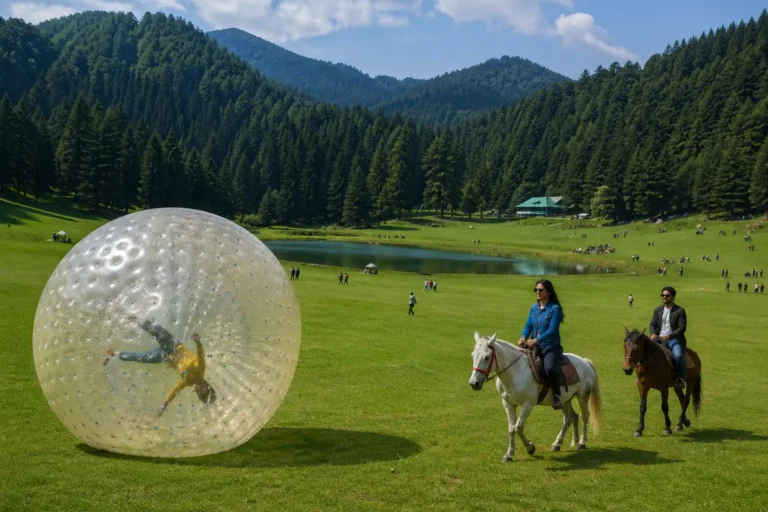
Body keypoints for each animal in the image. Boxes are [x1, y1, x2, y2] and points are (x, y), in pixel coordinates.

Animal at [468, 333, 602, 462]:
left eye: (486, 357)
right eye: (473, 355)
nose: (474, 383)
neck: (516, 372)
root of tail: (585, 361)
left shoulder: (528, 404)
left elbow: (518, 427)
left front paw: (530, 448)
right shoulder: (508, 404)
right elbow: (511, 428)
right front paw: (509, 454)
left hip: (582, 396)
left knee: (584, 416)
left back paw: (581, 443)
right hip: (565, 400)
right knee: (570, 418)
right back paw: (559, 443)